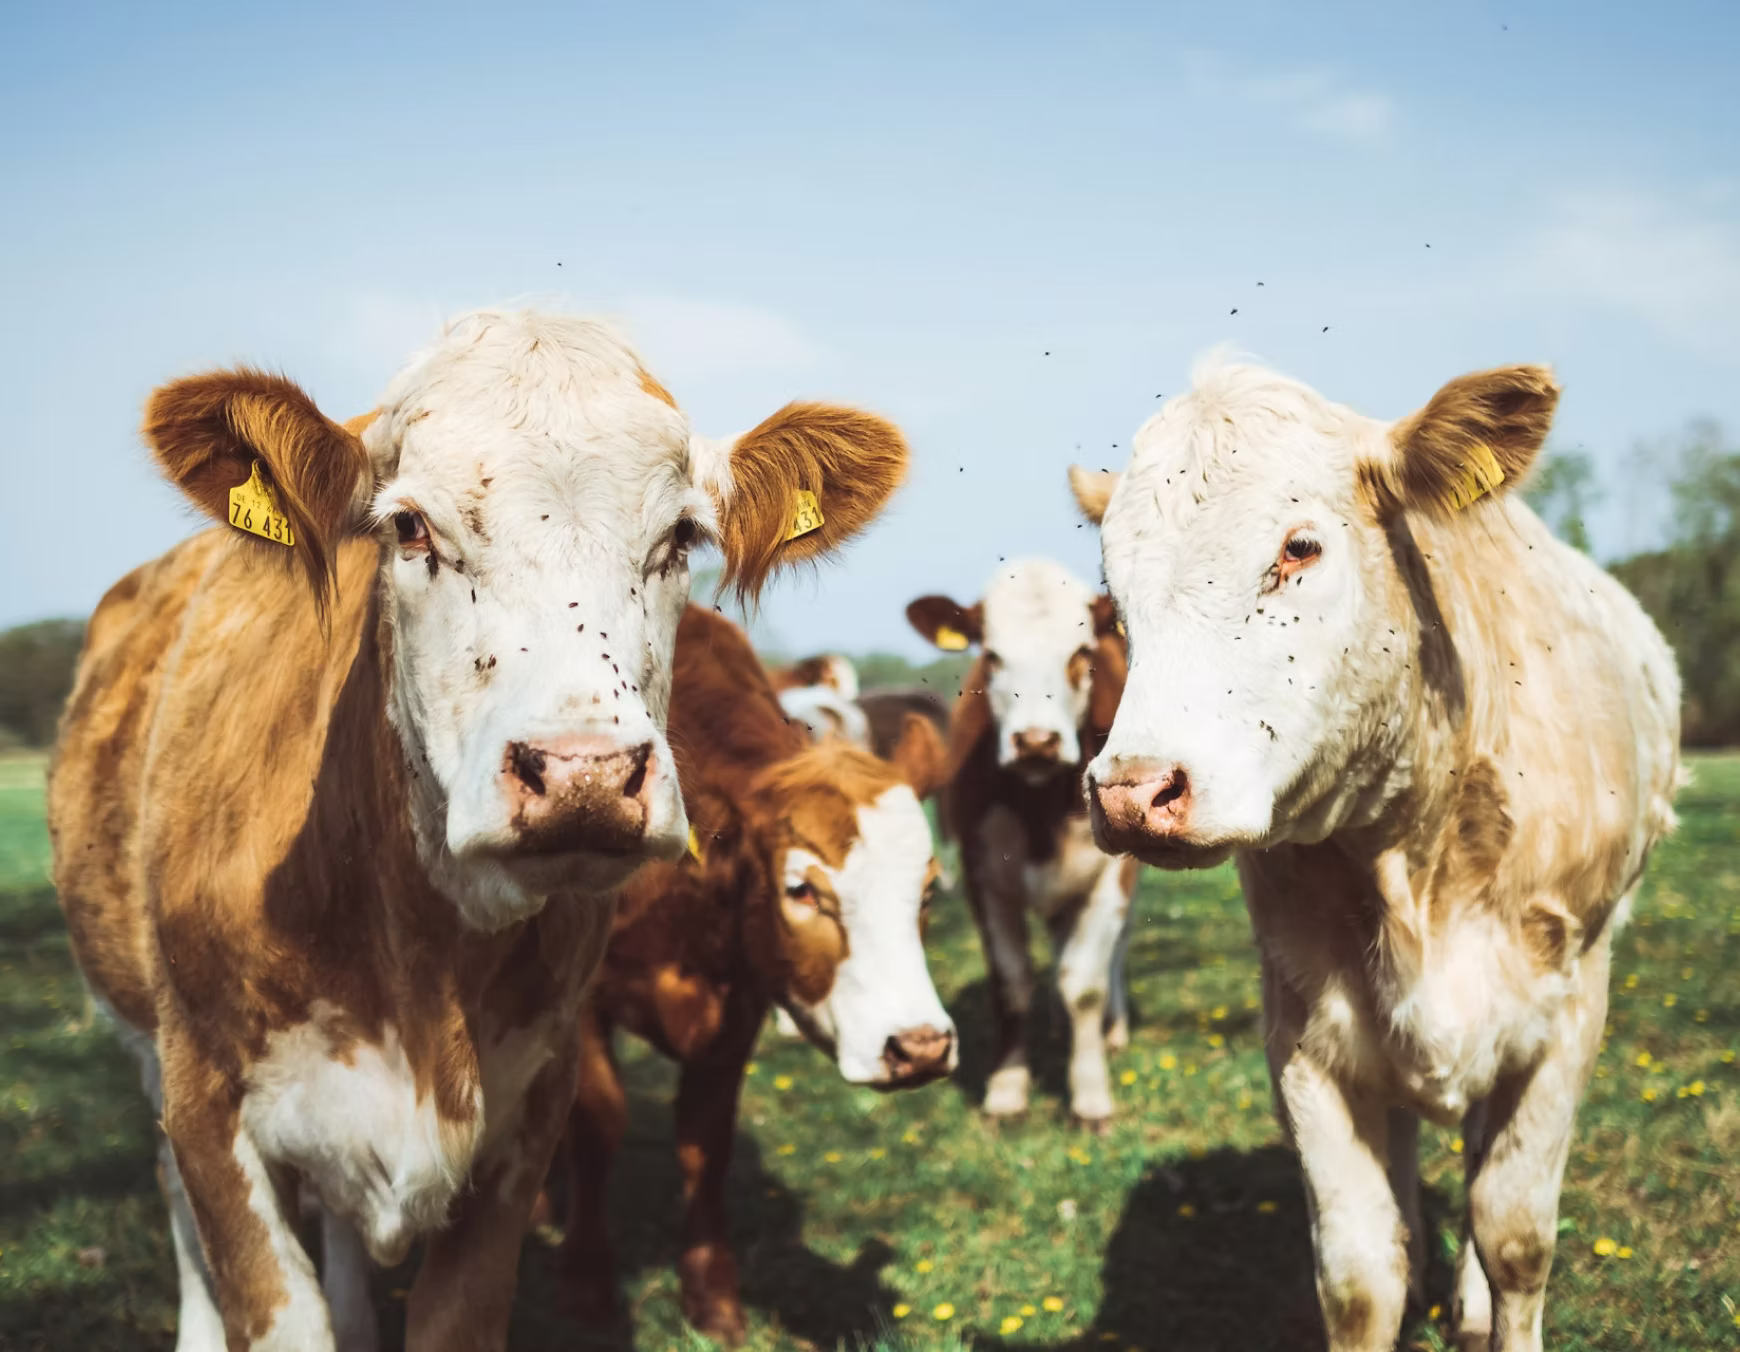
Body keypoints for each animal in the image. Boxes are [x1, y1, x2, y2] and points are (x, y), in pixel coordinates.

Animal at [46, 309, 909, 1352]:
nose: (584, 775)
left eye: (681, 537)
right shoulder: (206, 1108)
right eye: (409, 527)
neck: (414, 970)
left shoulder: (527, 1117)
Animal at [553, 604, 953, 1342]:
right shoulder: (580, 1003)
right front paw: (588, 1287)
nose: (920, 1048)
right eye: (801, 890)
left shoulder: (738, 1006)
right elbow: (596, 1125)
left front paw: (713, 1299)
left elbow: (705, 1144)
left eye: (929, 889)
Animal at [906, 558, 1138, 1129]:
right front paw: (1007, 1091)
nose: (1036, 742)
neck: (1042, 810)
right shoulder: (982, 877)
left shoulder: (1112, 877)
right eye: (992, 655)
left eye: (1081, 654)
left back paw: (1113, 1027)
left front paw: (1090, 1096)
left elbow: (1086, 985)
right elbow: (1011, 985)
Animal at [1071, 357, 1681, 1351]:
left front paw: (1490, 1299)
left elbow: (1516, 1236)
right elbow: (1359, 1273)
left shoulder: (1568, 1009)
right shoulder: (1304, 1026)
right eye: (1114, 592)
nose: (1131, 792)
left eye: (1299, 549)